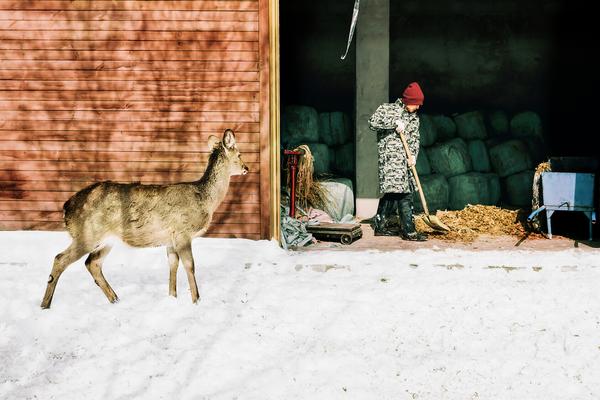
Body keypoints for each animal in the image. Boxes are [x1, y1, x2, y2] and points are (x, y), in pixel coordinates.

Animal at [41, 129, 248, 310]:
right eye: (239, 154)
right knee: (60, 259)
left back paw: (115, 299)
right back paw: (45, 305)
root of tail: (66, 207)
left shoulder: (170, 238)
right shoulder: (182, 232)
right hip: (87, 233)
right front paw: (196, 300)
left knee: (92, 263)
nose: (246, 168)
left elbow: (173, 265)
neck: (205, 200)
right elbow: (190, 266)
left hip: (106, 240)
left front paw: (172, 297)